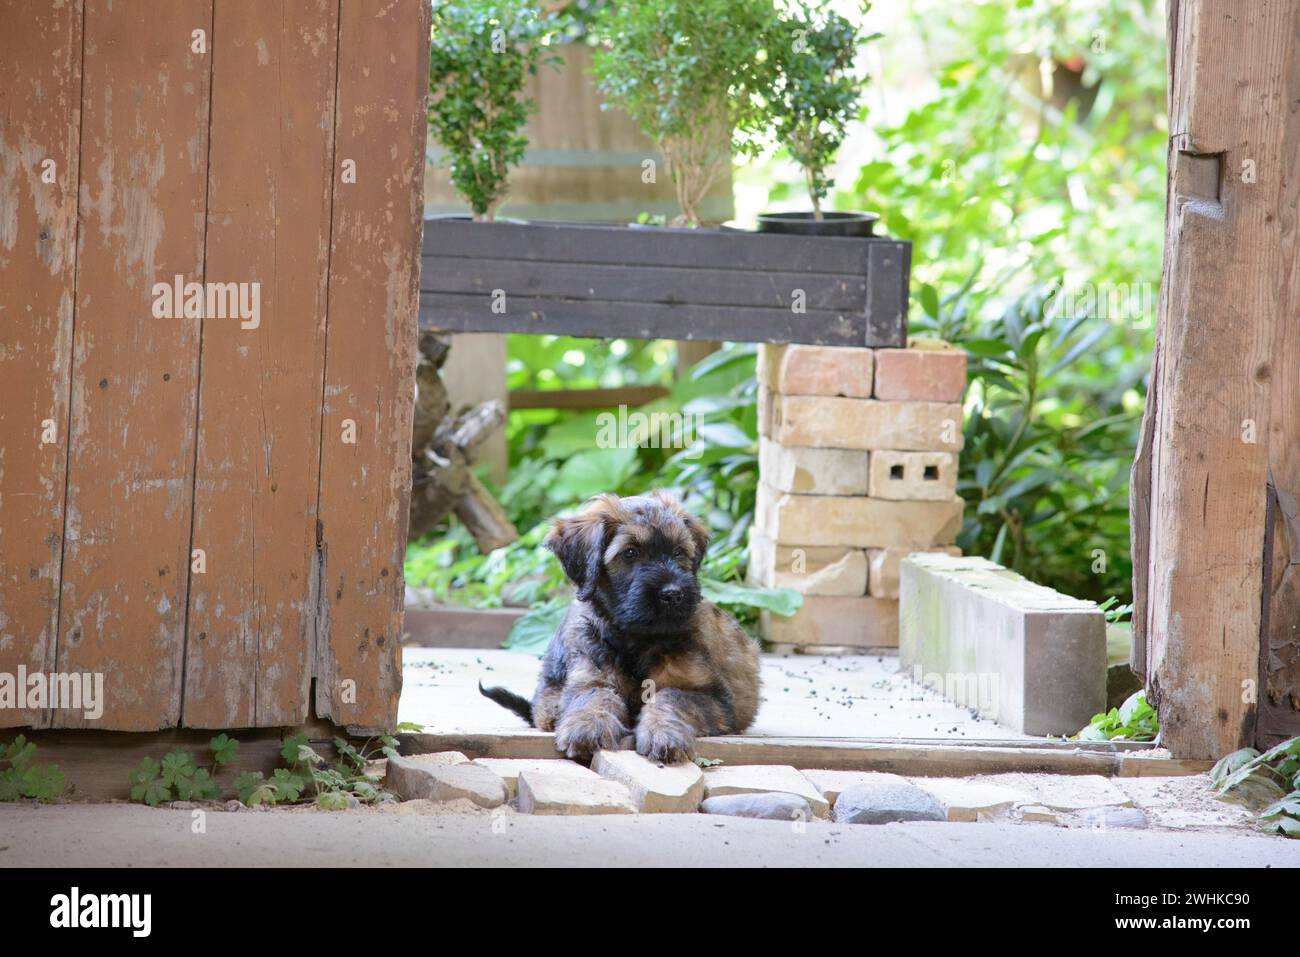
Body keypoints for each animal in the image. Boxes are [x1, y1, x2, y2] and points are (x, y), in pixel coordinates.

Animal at [478, 494, 759, 764]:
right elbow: (595, 695)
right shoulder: (590, 675)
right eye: (630, 552)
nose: (672, 594)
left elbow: (671, 698)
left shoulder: (713, 698)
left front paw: (663, 733)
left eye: (679, 552)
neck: (637, 637)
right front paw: (588, 725)